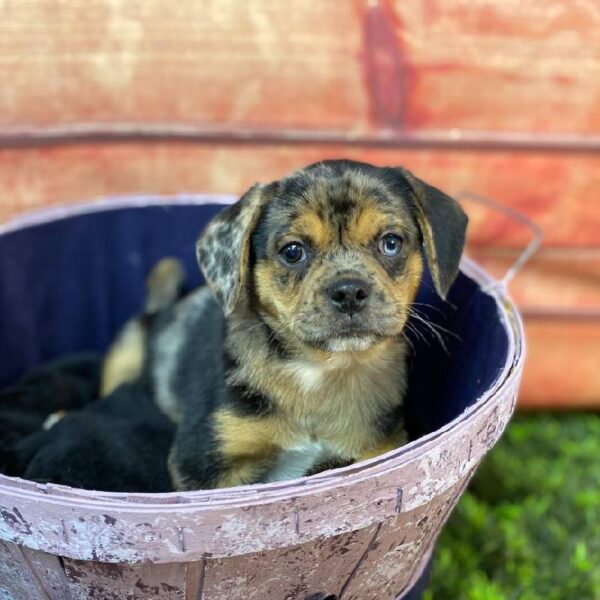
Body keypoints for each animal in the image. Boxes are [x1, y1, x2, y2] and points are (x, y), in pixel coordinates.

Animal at [102, 161, 468, 492]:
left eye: (391, 243)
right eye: (293, 251)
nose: (349, 292)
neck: (321, 372)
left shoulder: (379, 448)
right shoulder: (205, 462)